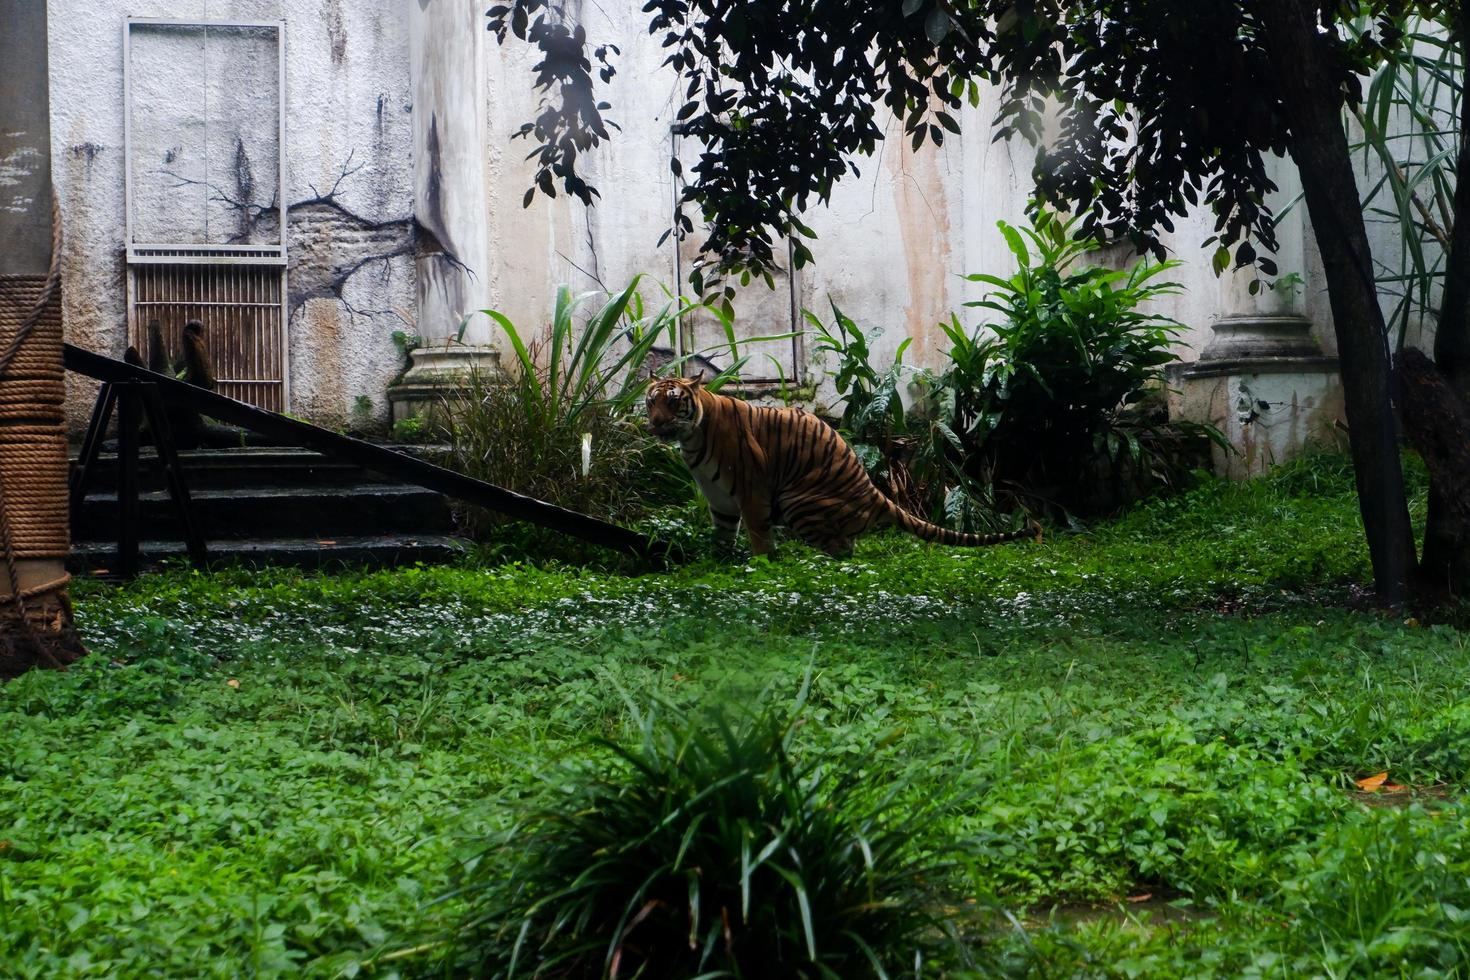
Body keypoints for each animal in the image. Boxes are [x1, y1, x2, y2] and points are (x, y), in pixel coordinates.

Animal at [649, 376, 1040, 558]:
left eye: (673, 402)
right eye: (651, 401)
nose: (654, 423)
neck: (691, 438)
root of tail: (870, 489)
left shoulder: (752, 493)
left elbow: (759, 538)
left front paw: (762, 568)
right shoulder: (719, 500)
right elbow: (723, 536)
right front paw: (721, 564)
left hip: (797, 500)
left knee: (843, 550)